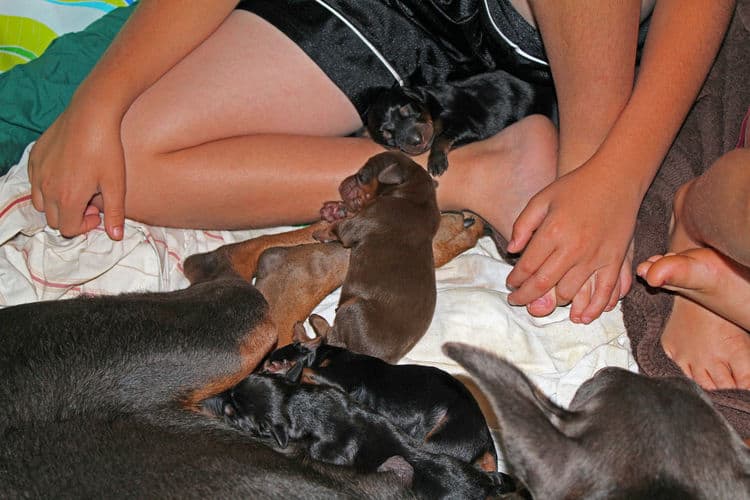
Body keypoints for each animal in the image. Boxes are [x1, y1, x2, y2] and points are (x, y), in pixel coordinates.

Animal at [258, 316, 500, 472]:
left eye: (271, 364)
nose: (257, 374)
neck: (323, 355)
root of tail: (486, 444)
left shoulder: (341, 378)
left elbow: (306, 371)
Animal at [314, 150, 444, 362]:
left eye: (361, 176)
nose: (341, 183)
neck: (415, 195)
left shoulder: (355, 225)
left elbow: (338, 227)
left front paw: (322, 231)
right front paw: (334, 209)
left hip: (352, 309)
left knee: (331, 336)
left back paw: (317, 320)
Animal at [368, 70, 556, 176]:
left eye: (407, 109)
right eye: (387, 134)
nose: (416, 141)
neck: (432, 105)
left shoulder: (469, 125)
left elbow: (441, 137)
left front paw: (436, 161)